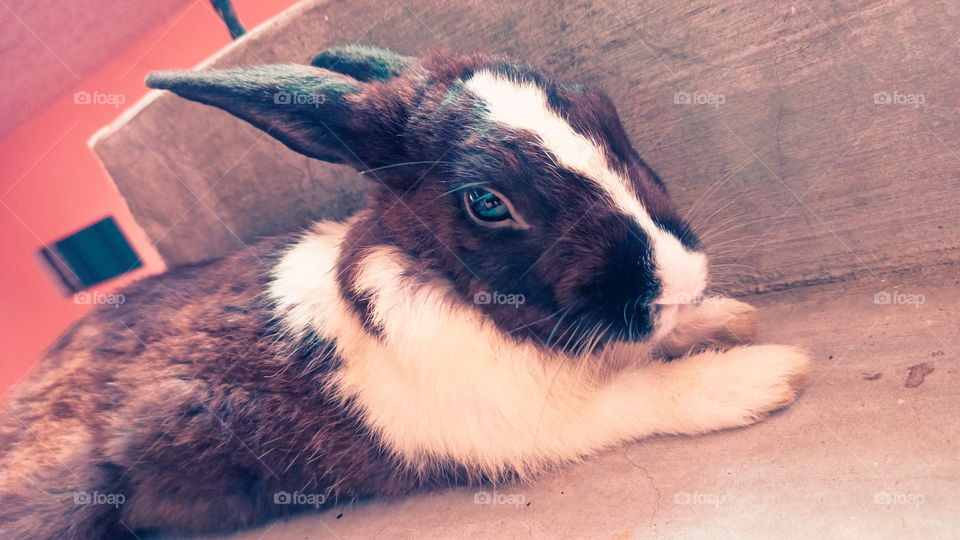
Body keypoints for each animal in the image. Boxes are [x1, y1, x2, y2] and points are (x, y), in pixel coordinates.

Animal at [0, 45, 810, 539]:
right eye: (487, 203)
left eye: (603, 113)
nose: (679, 278)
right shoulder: (540, 422)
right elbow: (646, 394)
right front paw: (764, 374)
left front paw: (726, 316)